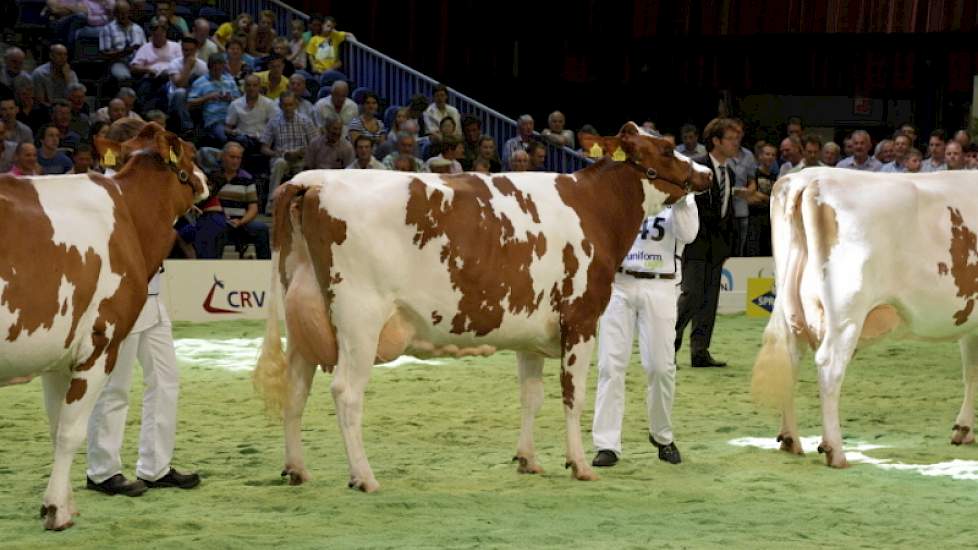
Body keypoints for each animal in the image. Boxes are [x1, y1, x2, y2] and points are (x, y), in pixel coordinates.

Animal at [0, 122, 206, 532]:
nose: (207, 180)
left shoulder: (55, 351)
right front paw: (56, 510)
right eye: (190, 151)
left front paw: (64, 502)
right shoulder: (100, 343)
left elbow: (56, 427)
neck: (128, 213)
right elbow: (71, 431)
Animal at [252, 123, 708, 490]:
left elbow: (531, 396)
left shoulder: (531, 331)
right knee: (346, 393)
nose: (704, 172)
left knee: (296, 390)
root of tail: (310, 180)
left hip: (303, 320)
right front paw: (579, 464)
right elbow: (572, 396)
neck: (592, 206)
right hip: (359, 318)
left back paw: (297, 469)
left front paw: (528, 460)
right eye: (668, 148)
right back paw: (364, 477)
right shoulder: (580, 318)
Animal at [752, 169, 976, 470]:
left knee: (789, 360)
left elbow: (970, 372)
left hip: (790, 307)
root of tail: (809, 178)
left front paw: (963, 429)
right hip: (846, 313)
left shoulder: (970, 322)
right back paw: (835, 451)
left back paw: (790, 440)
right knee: (830, 367)